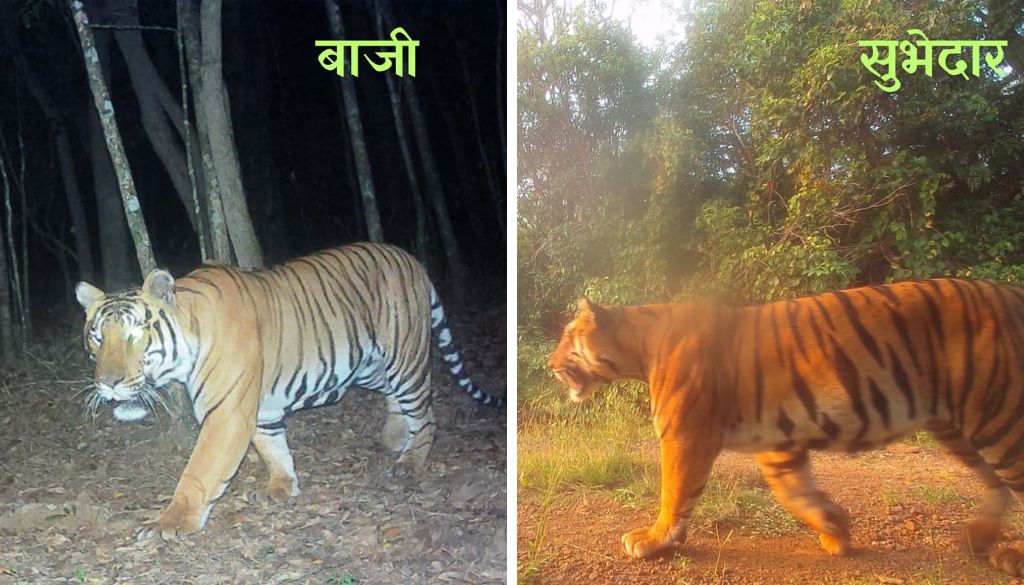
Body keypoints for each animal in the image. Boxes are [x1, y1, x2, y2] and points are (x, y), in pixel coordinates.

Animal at [75, 242, 503, 540]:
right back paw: (395, 438)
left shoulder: (227, 413)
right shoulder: (259, 409)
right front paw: (282, 488)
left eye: (134, 336)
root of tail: (412, 259)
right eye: (97, 337)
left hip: (405, 356)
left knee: (426, 412)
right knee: (398, 400)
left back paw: (410, 461)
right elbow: (273, 448)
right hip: (369, 365)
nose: (108, 383)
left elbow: (199, 470)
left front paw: (170, 523)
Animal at [548, 279, 1024, 577]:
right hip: (958, 427)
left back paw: (1011, 556)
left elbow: (674, 492)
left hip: (1000, 416)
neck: (639, 347)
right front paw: (836, 530)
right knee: (996, 485)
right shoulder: (777, 441)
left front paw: (652, 540)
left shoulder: (684, 434)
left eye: (568, 335)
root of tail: (1013, 294)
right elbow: (793, 491)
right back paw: (978, 538)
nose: (549, 365)